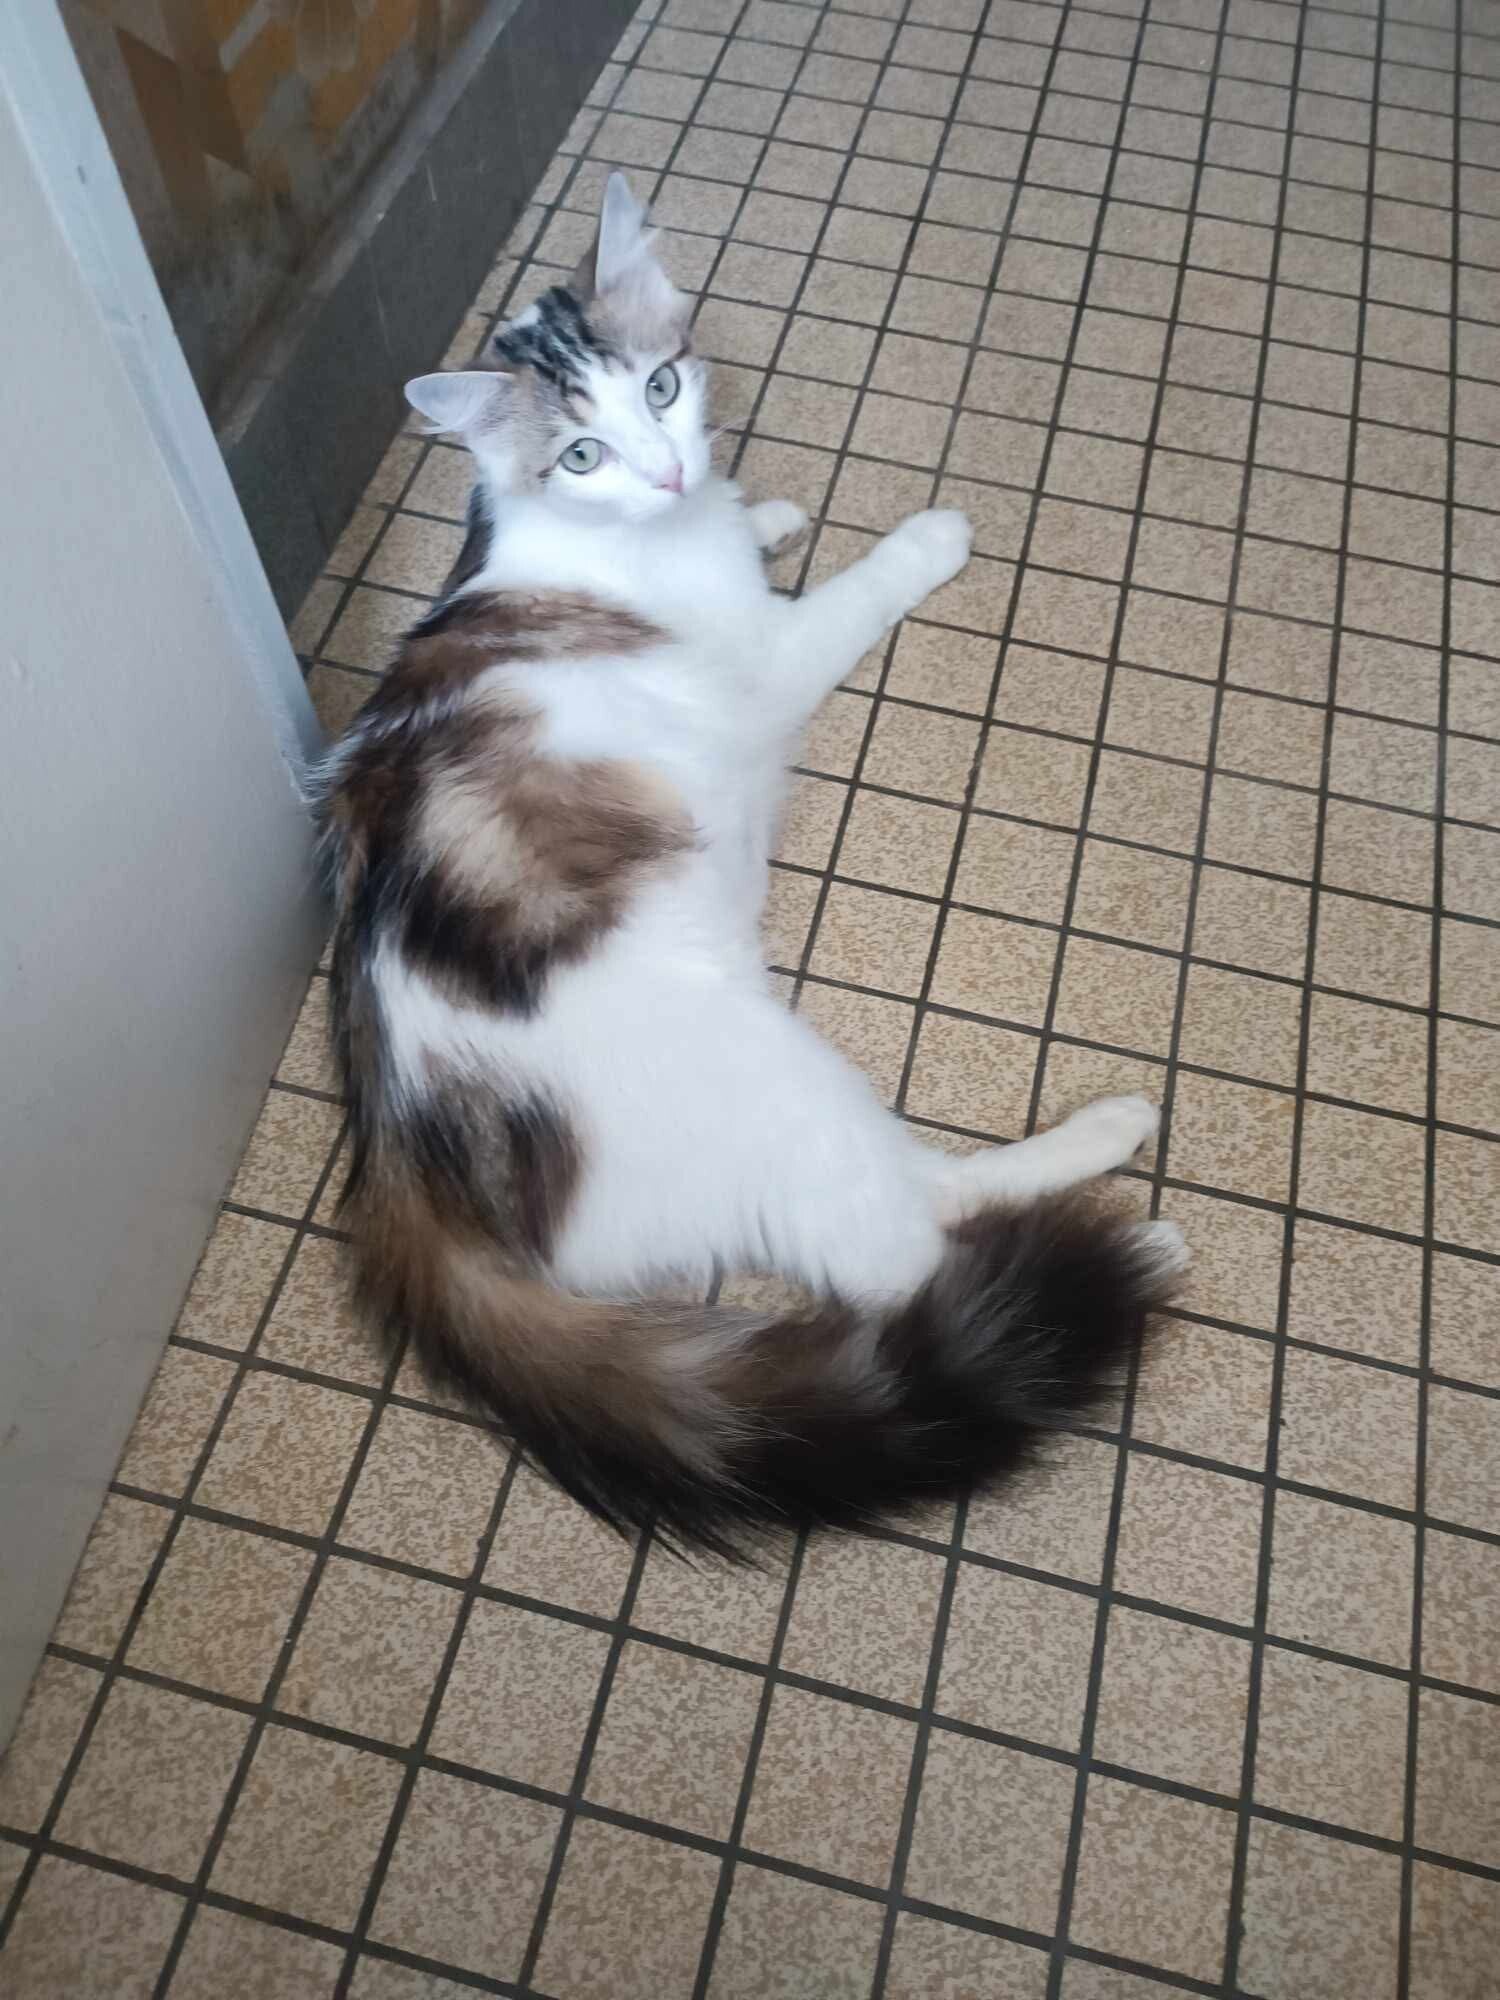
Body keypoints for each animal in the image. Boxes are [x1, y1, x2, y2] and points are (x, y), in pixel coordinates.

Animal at [317, 171, 1186, 1555]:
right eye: (580, 453)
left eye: (664, 387)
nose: (672, 469)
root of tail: (405, 1167)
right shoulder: (770, 660)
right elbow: (848, 595)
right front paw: (917, 540)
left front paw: (763, 509)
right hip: (782, 1083)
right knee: (906, 1242)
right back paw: (1110, 1194)